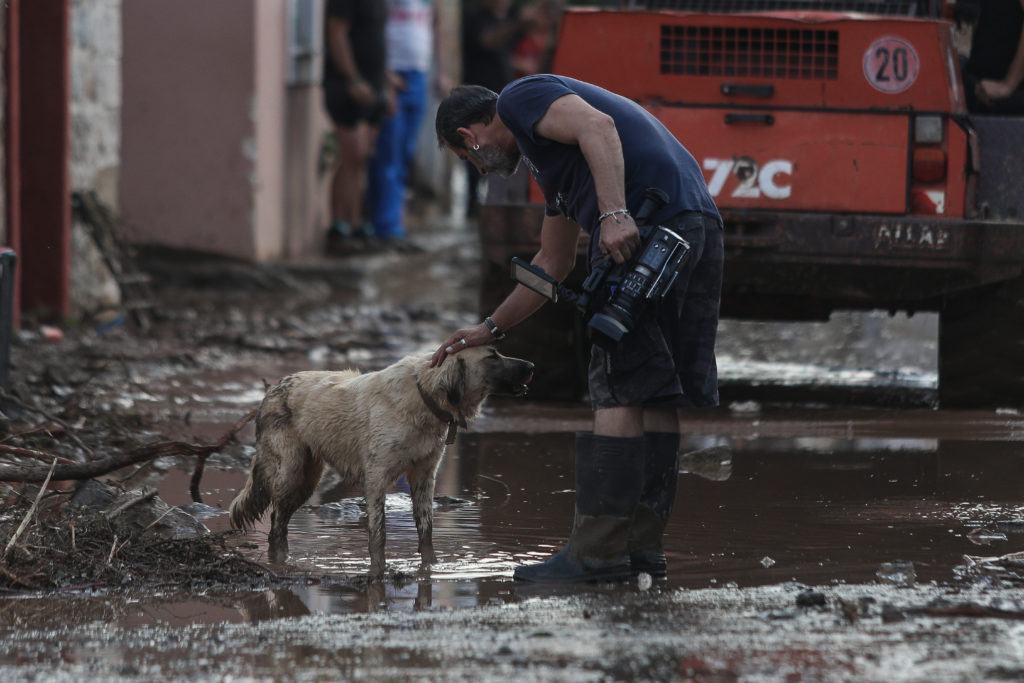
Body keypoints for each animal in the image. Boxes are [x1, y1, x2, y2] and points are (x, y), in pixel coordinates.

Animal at [228, 348, 532, 577]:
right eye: (492, 356)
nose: (531, 365)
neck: (424, 397)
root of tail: (273, 388)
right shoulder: (376, 477)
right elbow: (378, 535)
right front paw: (379, 572)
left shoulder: (424, 477)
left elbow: (426, 533)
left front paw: (430, 568)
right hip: (291, 471)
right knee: (276, 523)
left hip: (307, 480)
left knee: (279, 522)